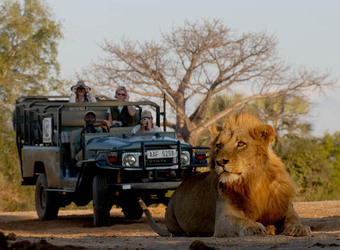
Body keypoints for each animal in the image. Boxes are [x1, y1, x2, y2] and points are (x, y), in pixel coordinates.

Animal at [138, 113, 310, 236]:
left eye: (241, 144)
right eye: (219, 145)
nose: (220, 162)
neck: (254, 182)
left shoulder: (284, 207)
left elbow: (294, 218)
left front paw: (299, 228)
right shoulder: (223, 220)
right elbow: (241, 221)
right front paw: (255, 227)